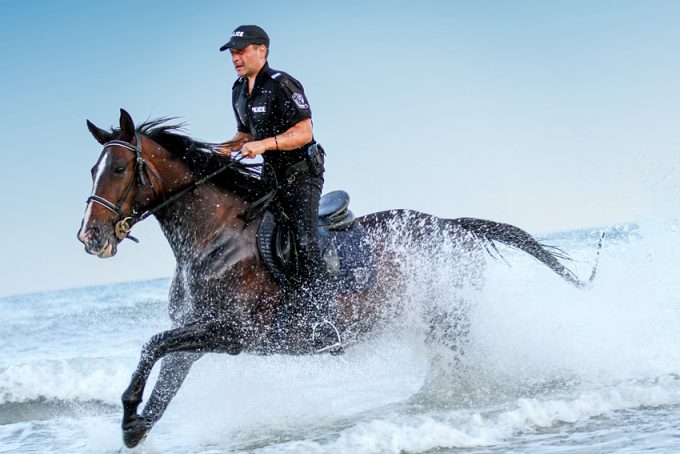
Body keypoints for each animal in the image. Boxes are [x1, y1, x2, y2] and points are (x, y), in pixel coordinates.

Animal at [77, 110, 592, 446]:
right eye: (93, 168)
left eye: (119, 168)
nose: (90, 236)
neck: (213, 239)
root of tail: (453, 226)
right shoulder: (196, 336)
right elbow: (165, 376)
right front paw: (136, 424)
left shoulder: (232, 333)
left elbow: (153, 344)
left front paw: (128, 414)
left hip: (449, 318)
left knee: (461, 368)